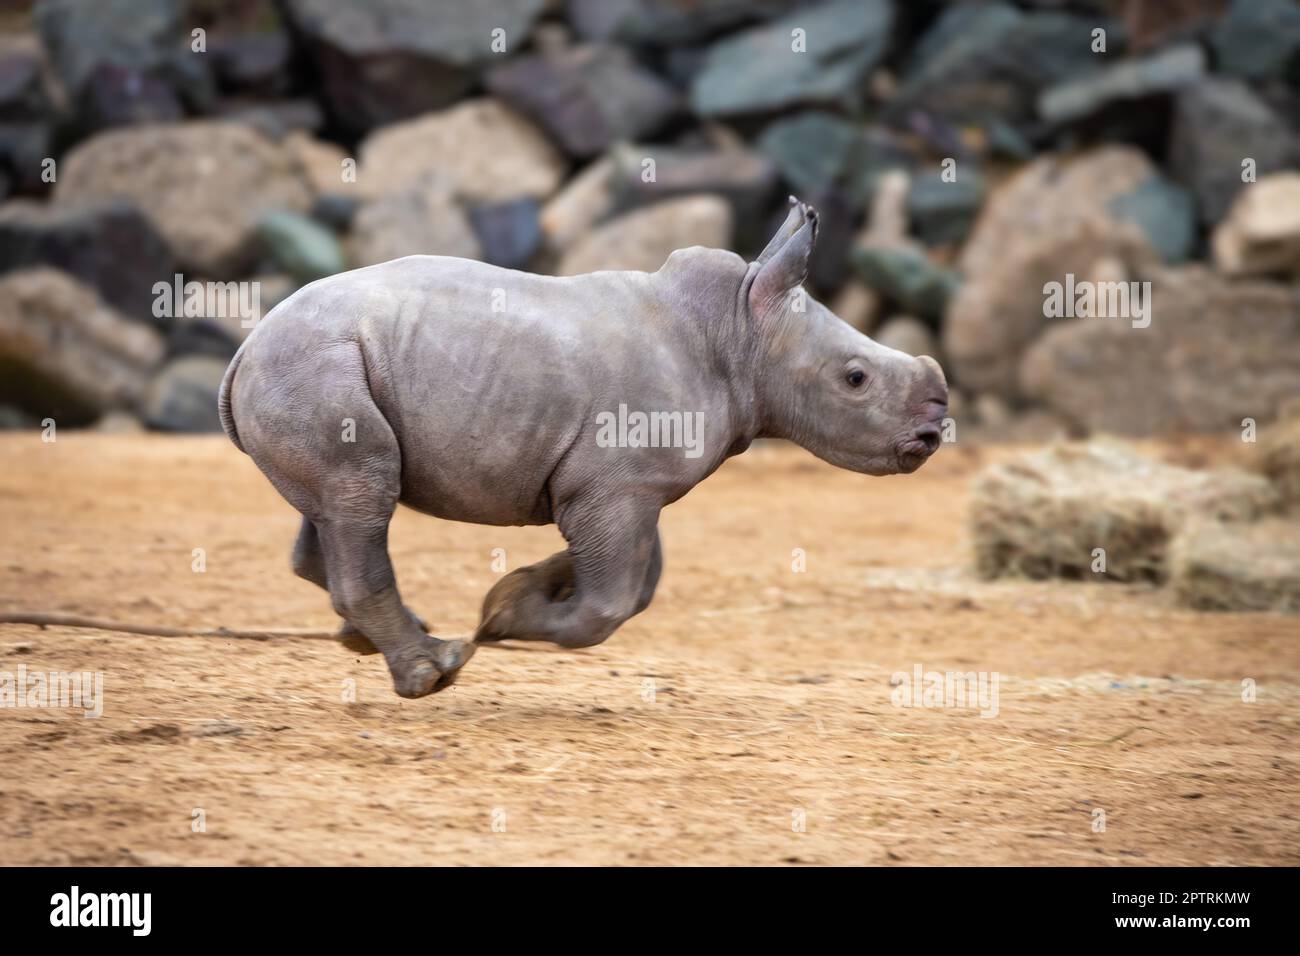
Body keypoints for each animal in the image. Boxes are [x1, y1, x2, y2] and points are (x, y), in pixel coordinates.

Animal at [218, 198, 948, 698]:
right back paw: (435, 669)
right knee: (361, 493)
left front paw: (528, 586)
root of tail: (245, 350)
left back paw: (383, 640)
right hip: (314, 369)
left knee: (336, 508)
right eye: (855, 379)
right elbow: (611, 604)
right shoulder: (616, 486)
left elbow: (642, 583)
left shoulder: (628, 484)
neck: (740, 330)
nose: (936, 428)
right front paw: (504, 617)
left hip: (313, 372)